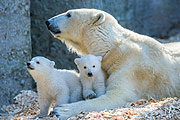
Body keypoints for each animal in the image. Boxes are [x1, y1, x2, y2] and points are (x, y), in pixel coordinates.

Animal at [46, 8, 180, 119]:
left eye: (69, 14)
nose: (48, 21)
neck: (114, 50)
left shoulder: (132, 69)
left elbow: (117, 96)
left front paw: (61, 110)